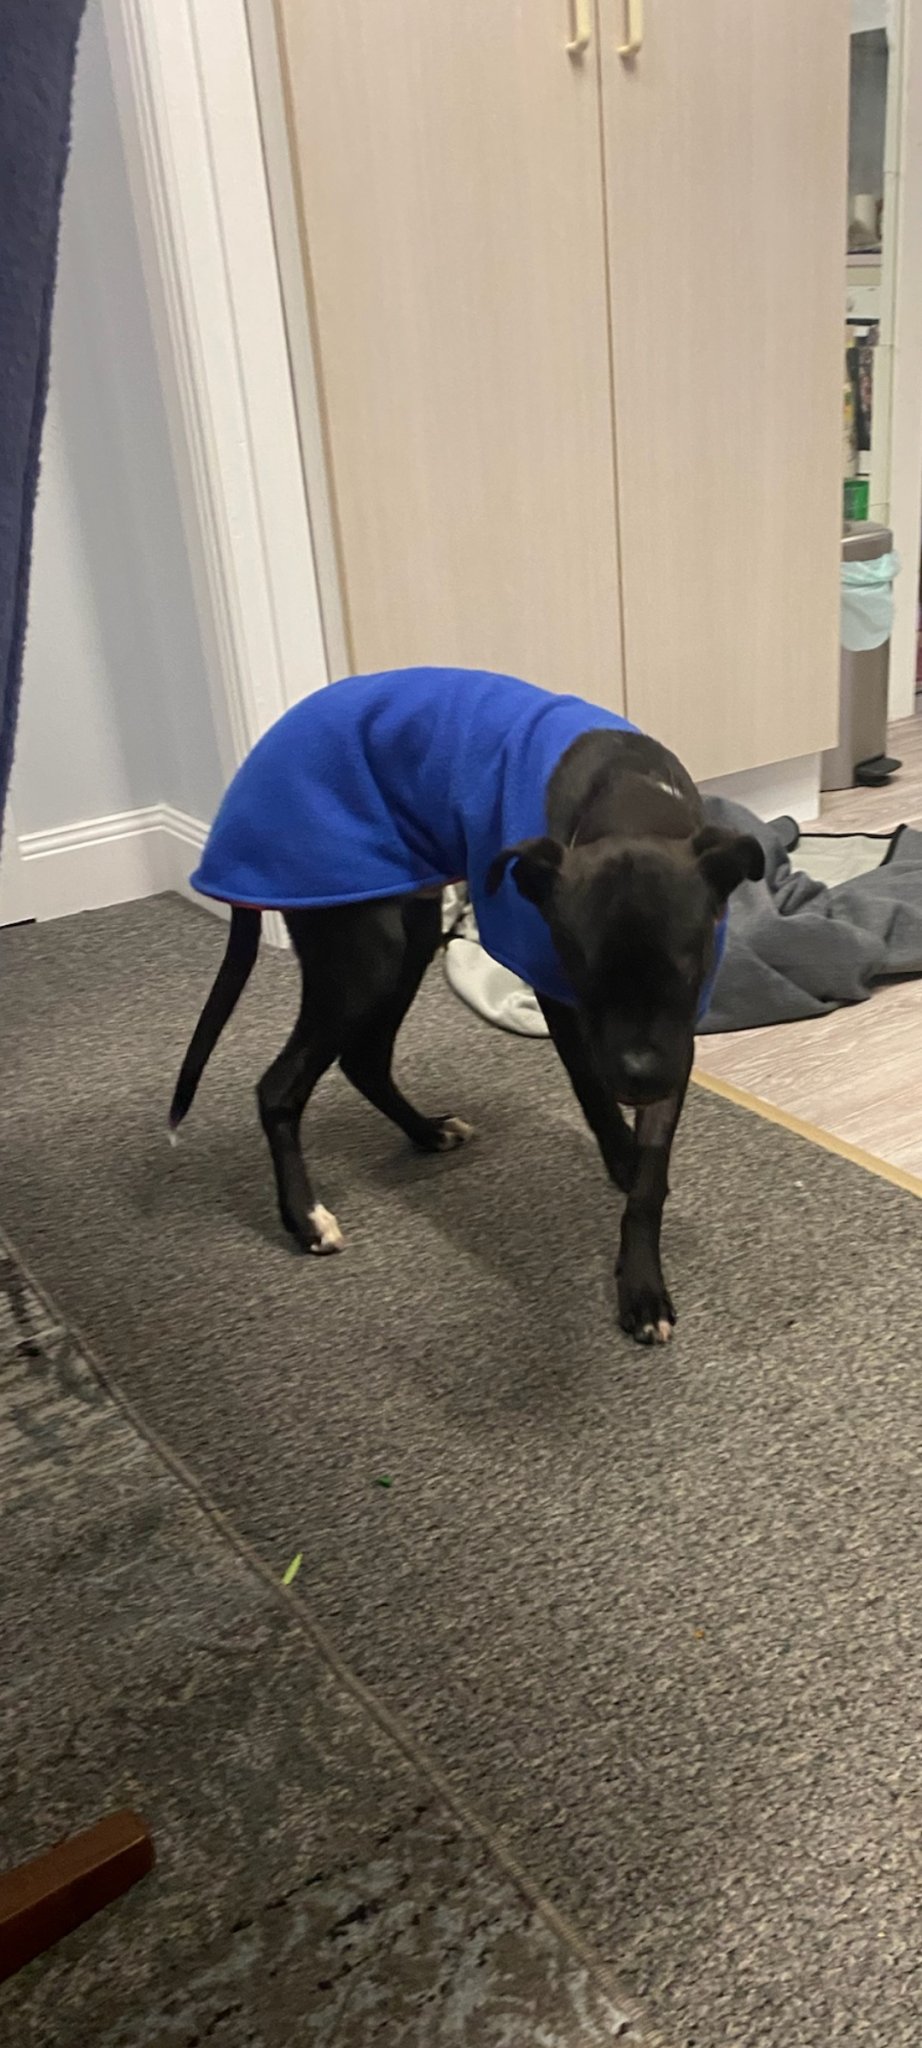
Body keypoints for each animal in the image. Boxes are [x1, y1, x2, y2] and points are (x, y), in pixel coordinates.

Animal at [171, 668, 764, 1344]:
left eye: (689, 968)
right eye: (581, 971)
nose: (638, 1081)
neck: (629, 800)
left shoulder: (676, 1039)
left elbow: (650, 1173)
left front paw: (641, 1281)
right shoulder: (561, 1000)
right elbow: (592, 1091)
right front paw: (619, 1160)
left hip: (411, 932)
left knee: (365, 1060)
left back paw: (427, 1131)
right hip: (364, 957)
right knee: (280, 1086)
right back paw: (305, 1217)